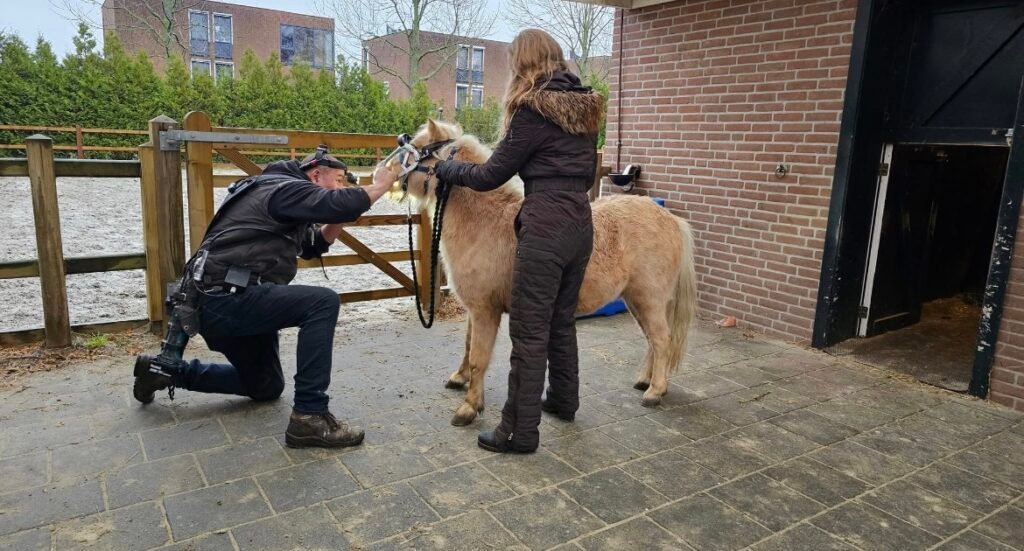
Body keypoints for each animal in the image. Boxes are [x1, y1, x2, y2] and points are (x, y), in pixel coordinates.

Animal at [403, 120, 699, 426]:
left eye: (419, 148)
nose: (392, 176)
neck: (485, 222)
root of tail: (671, 219)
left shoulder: (486, 310)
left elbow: (478, 358)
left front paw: (469, 407)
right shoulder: (476, 309)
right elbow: (468, 345)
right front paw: (459, 379)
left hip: (649, 299)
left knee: (662, 339)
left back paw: (655, 391)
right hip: (638, 301)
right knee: (653, 339)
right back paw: (645, 381)